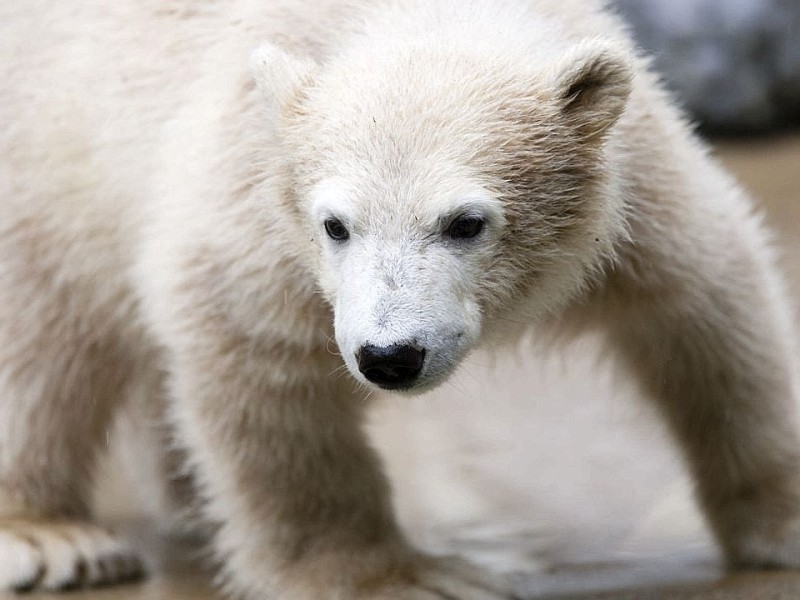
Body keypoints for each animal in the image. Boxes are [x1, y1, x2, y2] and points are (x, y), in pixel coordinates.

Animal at [1, 0, 800, 596]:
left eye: (466, 222)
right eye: (336, 225)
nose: (390, 355)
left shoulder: (635, 187)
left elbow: (710, 306)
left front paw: (782, 523)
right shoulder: (252, 194)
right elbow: (261, 363)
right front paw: (395, 577)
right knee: (39, 338)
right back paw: (52, 540)